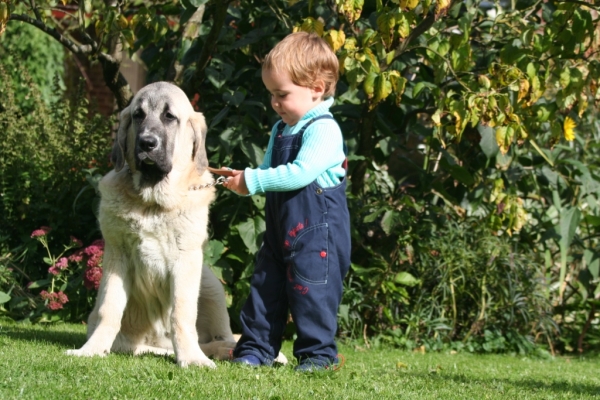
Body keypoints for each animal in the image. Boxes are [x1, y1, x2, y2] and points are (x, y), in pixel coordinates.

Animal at [68, 82, 239, 368]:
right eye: (138, 115)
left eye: (170, 117)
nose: (147, 142)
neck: (151, 202)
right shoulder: (117, 256)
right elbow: (109, 308)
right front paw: (91, 350)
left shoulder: (186, 261)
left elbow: (181, 313)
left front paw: (192, 358)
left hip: (211, 284)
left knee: (222, 335)